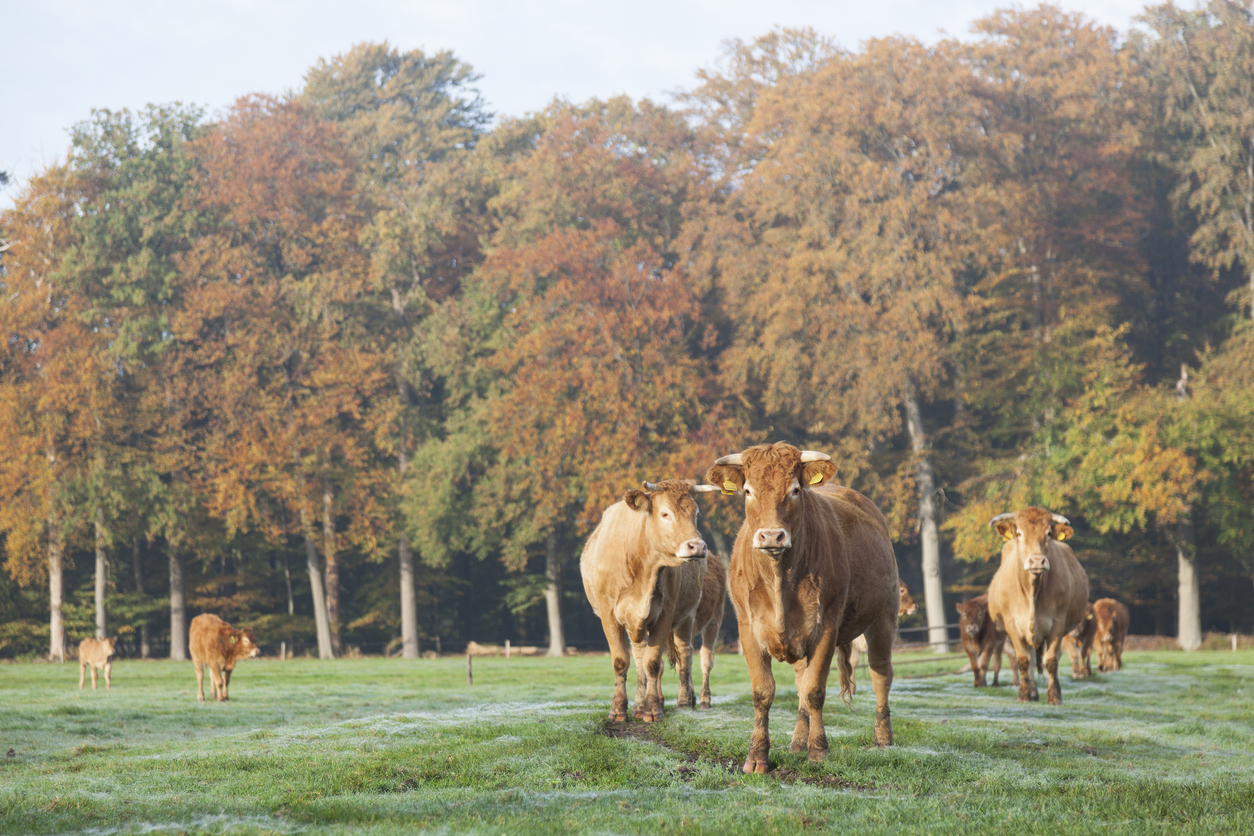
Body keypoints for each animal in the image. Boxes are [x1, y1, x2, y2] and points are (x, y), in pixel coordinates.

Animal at [579, 481, 722, 721]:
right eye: (665, 514)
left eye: (695, 514)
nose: (697, 546)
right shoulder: (610, 615)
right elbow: (622, 661)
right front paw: (619, 710)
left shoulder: (665, 614)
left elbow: (653, 662)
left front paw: (653, 709)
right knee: (639, 657)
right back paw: (638, 705)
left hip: (692, 617)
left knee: (687, 655)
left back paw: (685, 701)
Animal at [707, 441, 902, 777]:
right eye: (747, 490)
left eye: (795, 489)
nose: (772, 535)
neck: (779, 578)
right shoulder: (748, 627)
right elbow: (763, 692)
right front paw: (757, 756)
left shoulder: (827, 626)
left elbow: (814, 690)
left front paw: (819, 751)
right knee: (800, 680)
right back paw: (798, 741)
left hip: (885, 616)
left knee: (881, 674)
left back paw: (883, 739)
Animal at [988, 506, 1088, 701]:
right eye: (1019, 533)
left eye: (1048, 533)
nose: (1036, 561)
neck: (1032, 591)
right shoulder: (1013, 625)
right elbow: (1023, 660)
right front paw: (1024, 694)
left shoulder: (1058, 623)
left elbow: (1051, 661)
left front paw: (1055, 696)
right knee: (1031, 658)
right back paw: (1032, 691)